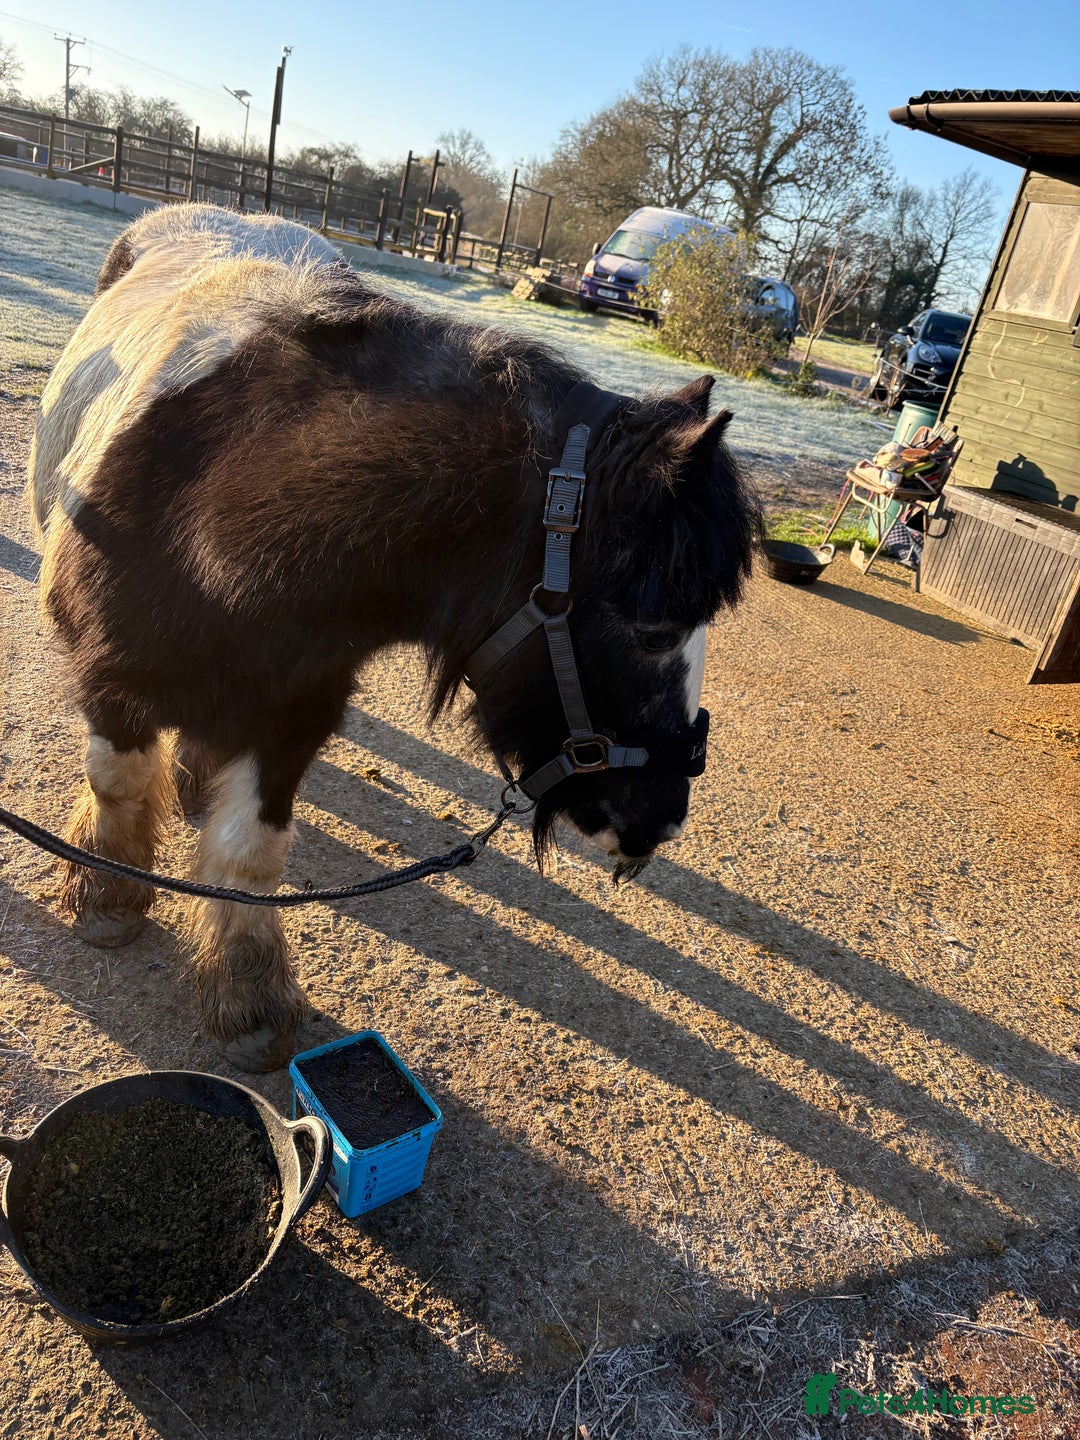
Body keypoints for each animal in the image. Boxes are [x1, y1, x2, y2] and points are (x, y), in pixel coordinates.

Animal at [27, 203, 758, 1072]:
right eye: (653, 631)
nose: (664, 819)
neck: (213, 508)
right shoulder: (113, 675)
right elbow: (118, 779)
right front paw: (106, 889)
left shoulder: (294, 713)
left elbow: (250, 853)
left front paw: (247, 993)